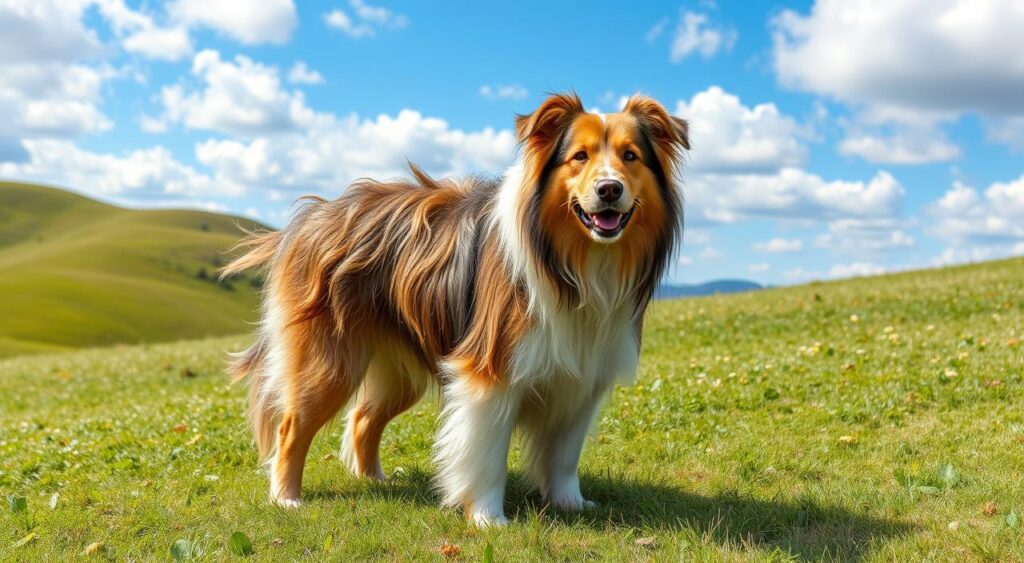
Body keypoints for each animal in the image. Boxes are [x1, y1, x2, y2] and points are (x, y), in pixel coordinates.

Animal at [223, 92, 688, 528]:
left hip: (400, 371)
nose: (609, 189)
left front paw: (570, 503)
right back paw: (286, 498)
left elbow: (564, 457)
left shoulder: (583, 378)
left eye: (631, 156)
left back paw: (375, 481)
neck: (572, 265)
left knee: (362, 418)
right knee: (291, 428)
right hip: (329, 362)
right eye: (580, 156)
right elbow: (487, 455)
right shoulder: (491, 371)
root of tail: (310, 218)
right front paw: (487, 518)